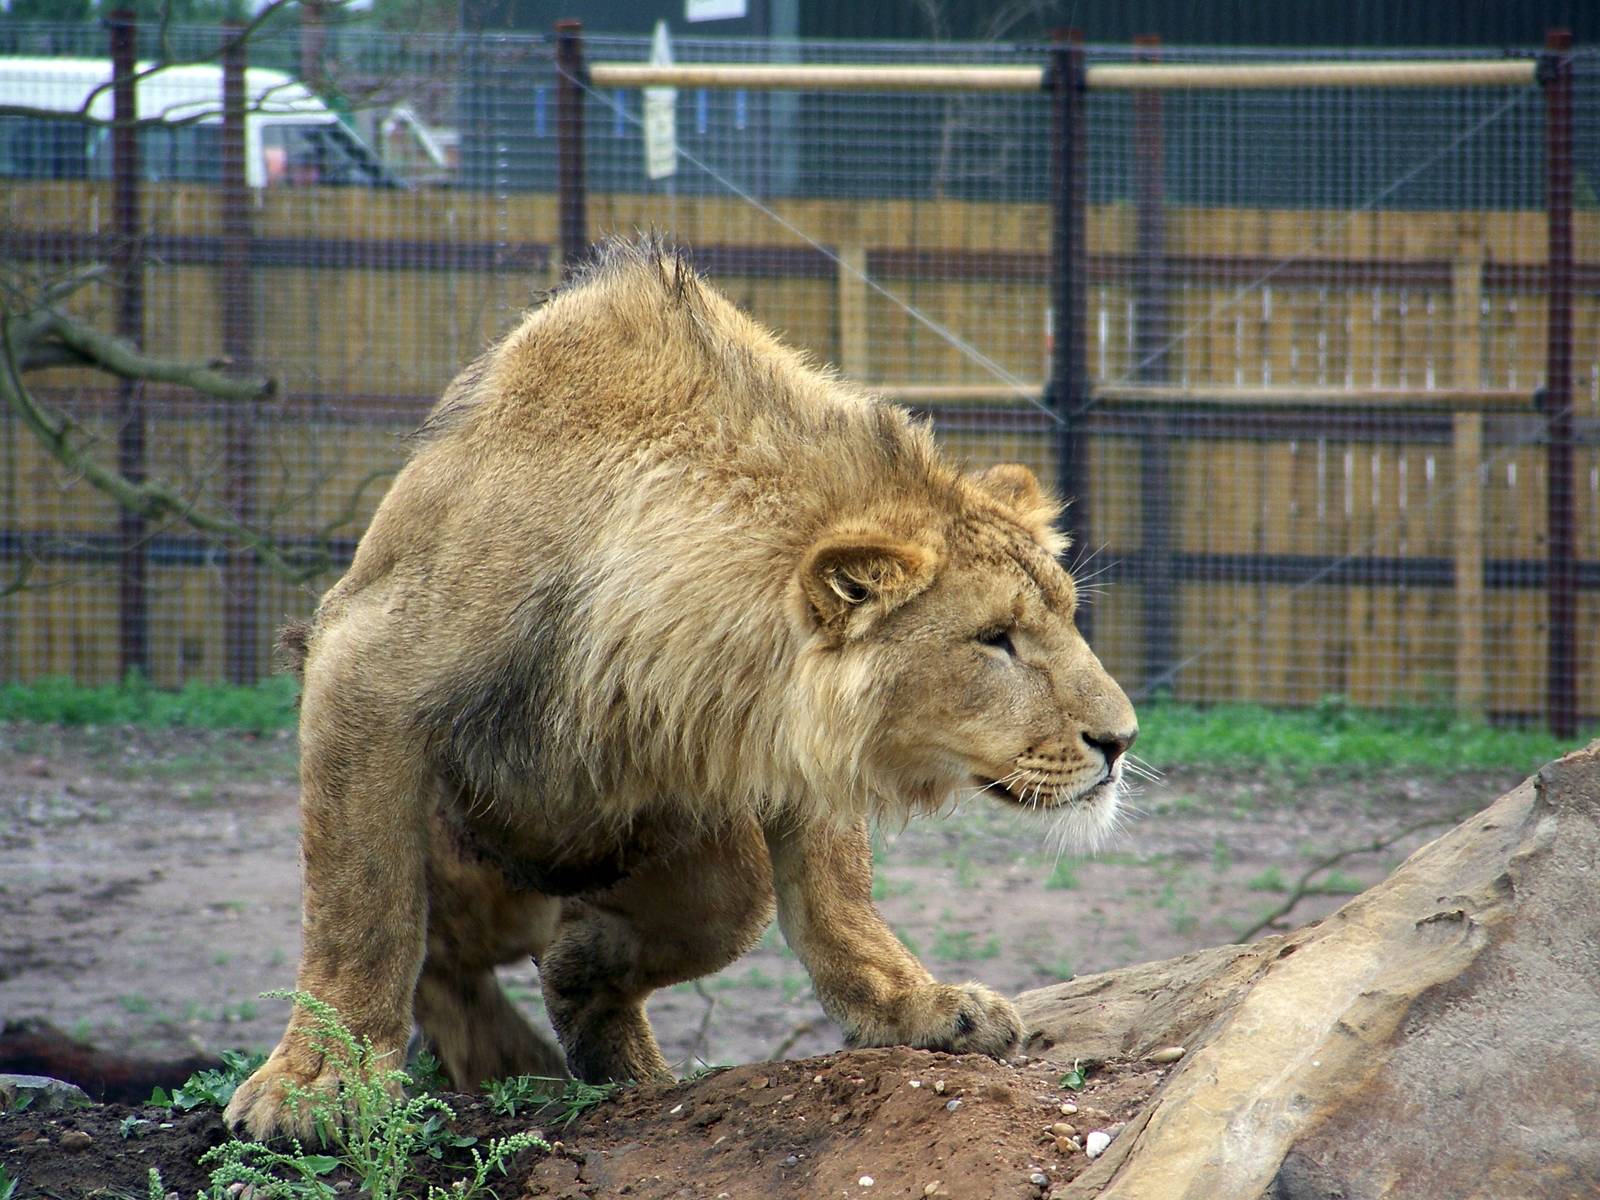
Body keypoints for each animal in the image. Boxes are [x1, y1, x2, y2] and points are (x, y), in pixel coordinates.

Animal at [225, 240, 1138, 1139]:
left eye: (1066, 616)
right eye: (995, 639)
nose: (1122, 741)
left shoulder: (772, 741)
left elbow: (819, 894)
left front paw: (911, 1004)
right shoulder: (363, 662)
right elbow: (362, 905)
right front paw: (319, 1082)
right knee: (441, 949)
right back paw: (510, 1061)